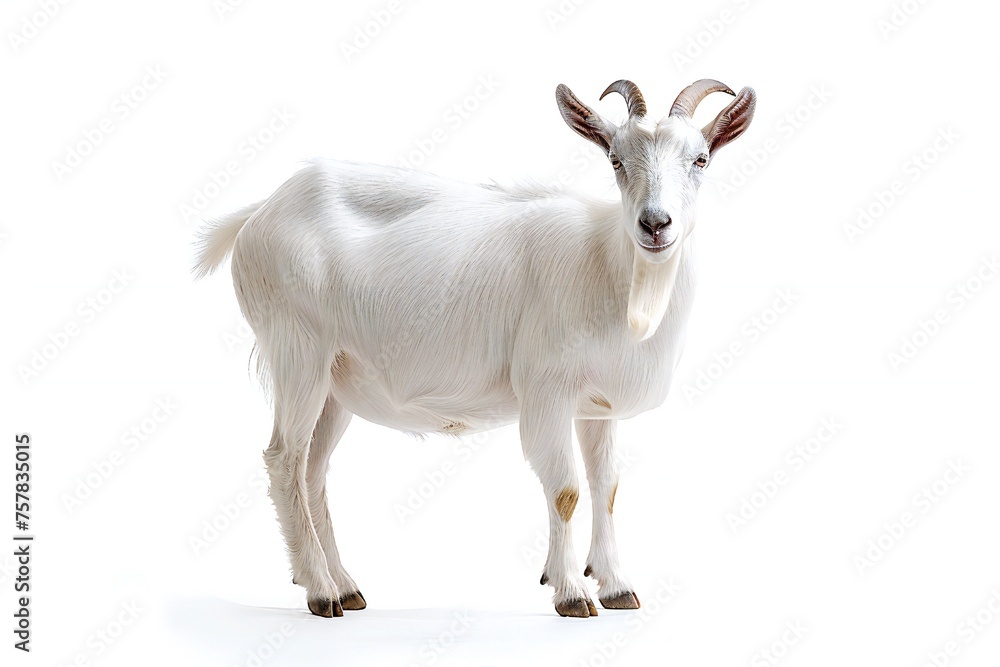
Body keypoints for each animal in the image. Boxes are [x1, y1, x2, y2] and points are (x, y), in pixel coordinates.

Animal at [195, 79, 756, 618]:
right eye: (615, 160)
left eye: (701, 159)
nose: (655, 224)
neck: (608, 268)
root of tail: (258, 213)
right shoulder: (545, 390)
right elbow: (566, 489)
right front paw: (571, 593)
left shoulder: (596, 407)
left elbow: (607, 486)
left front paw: (616, 585)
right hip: (298, 350)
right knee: (284, 459)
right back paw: (320, 592)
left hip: (336, 381)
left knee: (313, 471)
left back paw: (345, 586)